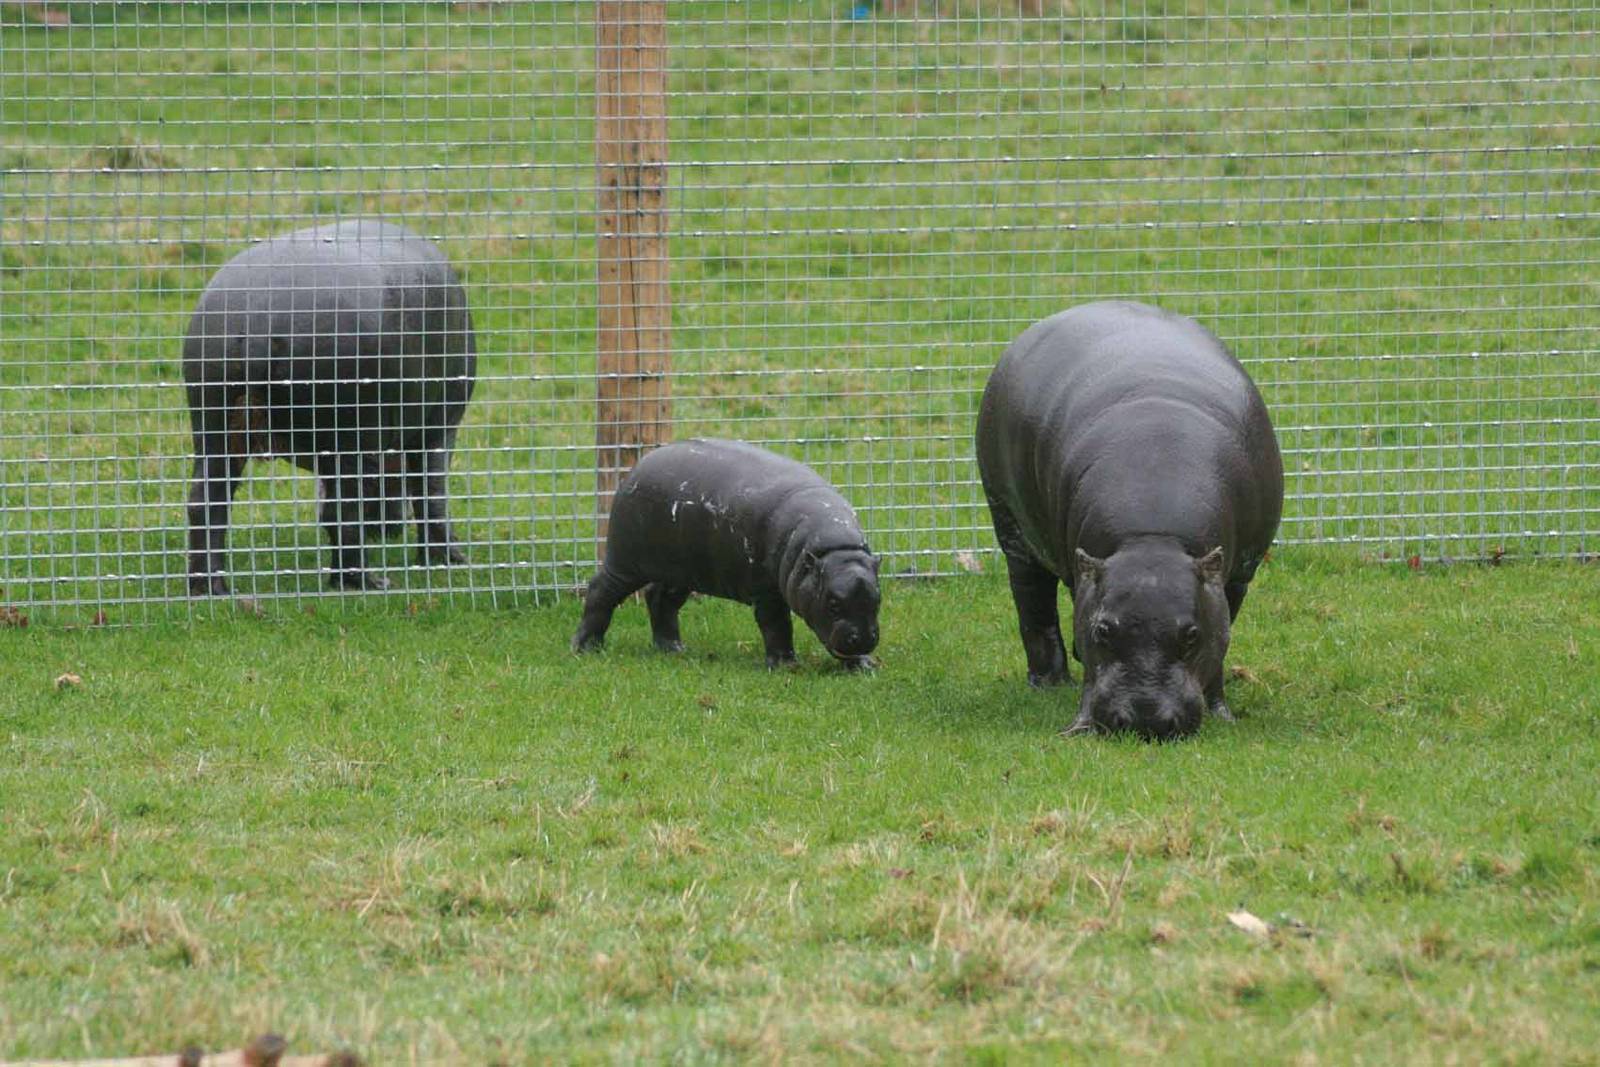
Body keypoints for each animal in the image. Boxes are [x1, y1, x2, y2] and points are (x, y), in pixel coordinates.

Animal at [183, 219, 477, 595]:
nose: (390, 528)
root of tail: (261, 316)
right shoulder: (440, 423)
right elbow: (432, 491)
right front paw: (450, 560)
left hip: (214, 424)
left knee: (206, 500)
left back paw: (213, 589)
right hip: (355, 433)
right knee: (348, 508)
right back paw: (369, 582)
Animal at [572, 438, 882, 668]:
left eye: (878, 600)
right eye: (832, 603)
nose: (864, 640)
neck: (831, 548)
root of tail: (640, 464)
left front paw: (864, 666)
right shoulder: (766, 591)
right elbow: (776, 625)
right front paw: (786, 666)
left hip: (682, 570)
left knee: (660, 599)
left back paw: (674, 649)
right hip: (626, 561)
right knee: (601, 590)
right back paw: (586, 648)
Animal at [975, 301, 1283, 739]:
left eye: (1192, 634)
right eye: (1103, 629)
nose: (1144, 719)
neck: (1153, 536)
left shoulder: (1237, 575)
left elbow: (1222, 635)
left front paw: (1221, 712)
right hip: (1009, 521)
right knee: (1033, 603)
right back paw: (1049, 683)